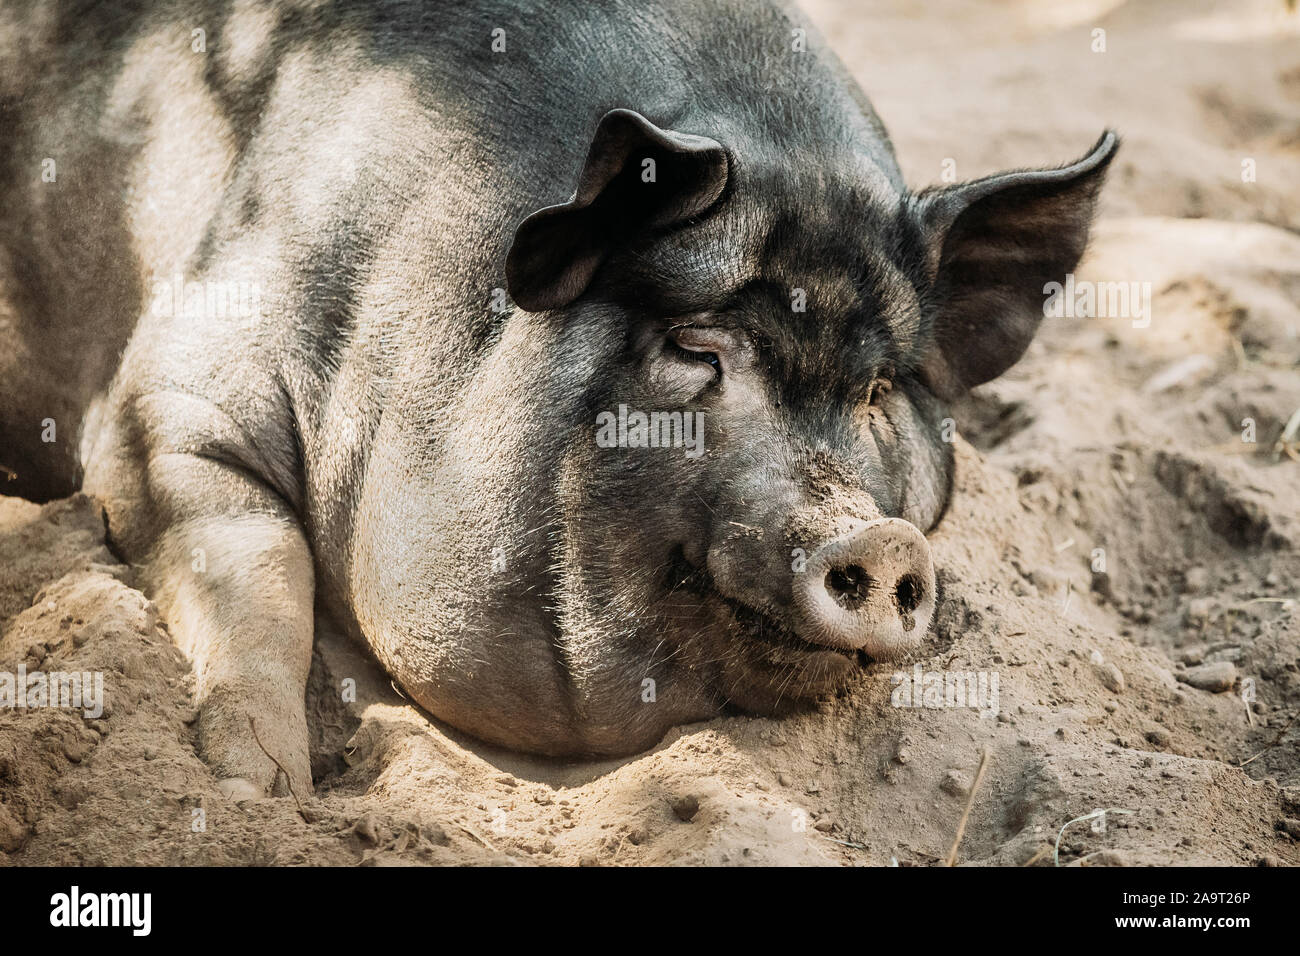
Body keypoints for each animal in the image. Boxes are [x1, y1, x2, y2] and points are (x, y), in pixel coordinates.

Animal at [2, 0, 1118, 796]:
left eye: (880, 384)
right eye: (695, 344)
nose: (881, 540)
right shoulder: (163, 402)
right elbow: (254, 560)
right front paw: (257, 787)